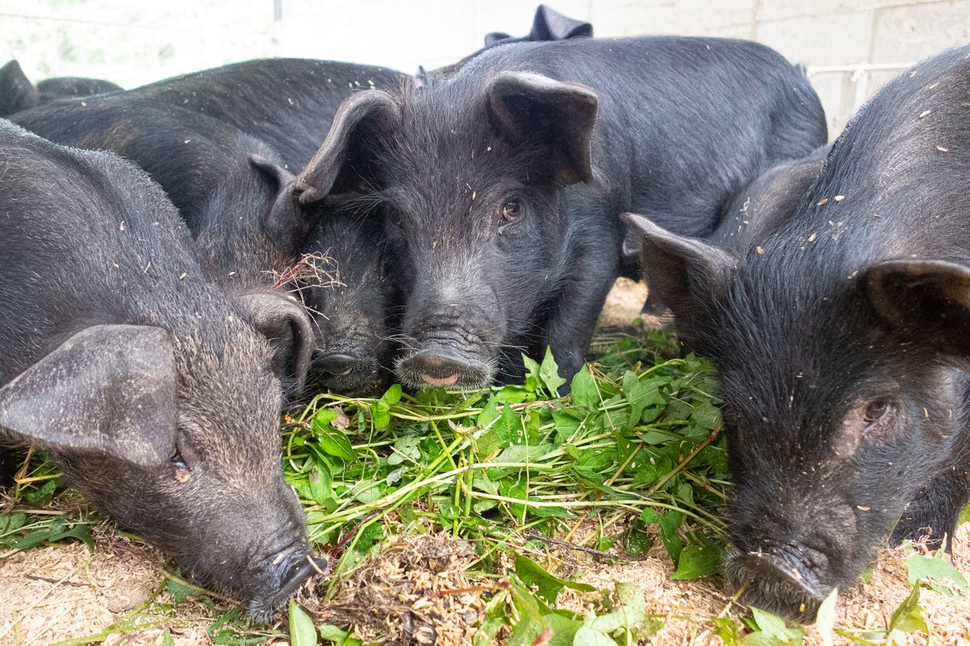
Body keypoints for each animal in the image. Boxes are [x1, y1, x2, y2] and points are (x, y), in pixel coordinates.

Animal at [296, 38, 824, 392]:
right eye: (399, 219)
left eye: (511, 207)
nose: (435, 356)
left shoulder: (601, 240)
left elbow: (566, 333)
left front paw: (555, 394)